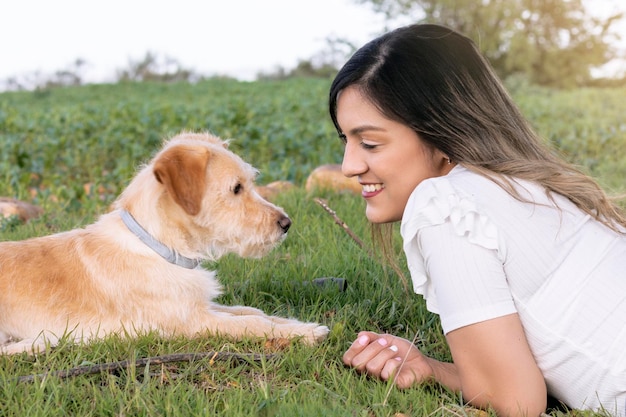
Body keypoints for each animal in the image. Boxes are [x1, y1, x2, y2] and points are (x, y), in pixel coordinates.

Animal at [0, 132, 330, 352]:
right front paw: (308, 333)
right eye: (236, 188)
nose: (286, 224)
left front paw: (297, 325)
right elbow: (252, 324)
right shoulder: (194, 322)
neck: (159, 246)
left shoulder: (197, 305)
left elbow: (253, 312)